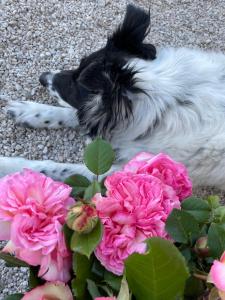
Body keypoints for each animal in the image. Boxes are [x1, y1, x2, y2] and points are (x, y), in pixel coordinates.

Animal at [1, 4, 225, 188]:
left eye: (75, 84)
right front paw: (30, 111)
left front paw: (9, 164)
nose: (42, 78)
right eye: (78, 66)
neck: (170, 102)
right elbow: (78, 114)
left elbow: (56, 168)